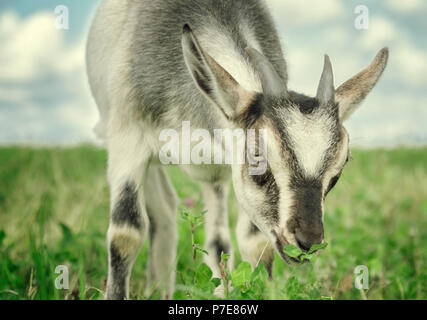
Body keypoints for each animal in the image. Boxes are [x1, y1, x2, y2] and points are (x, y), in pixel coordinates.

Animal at [86, 0, 388, 300]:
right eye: (257, 155)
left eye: (341, 166)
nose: (307, 241)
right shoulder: (127, 141)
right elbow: (126, 233)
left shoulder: (230, 172)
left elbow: (252, 245)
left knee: (199, 230)